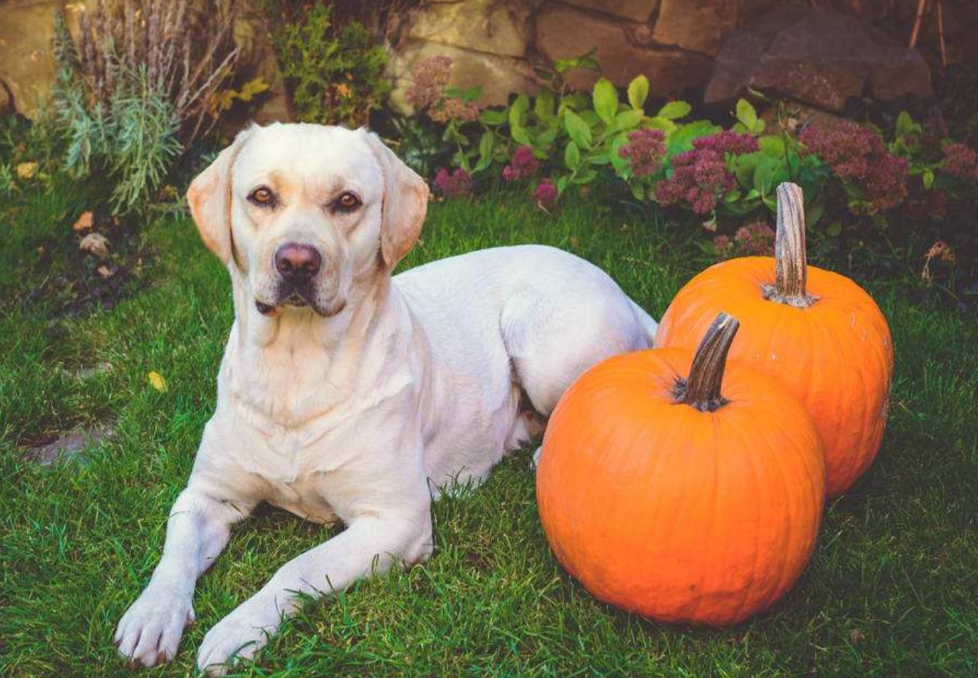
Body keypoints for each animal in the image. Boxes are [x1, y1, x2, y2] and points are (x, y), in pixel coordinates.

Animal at [112, 123, 656, 676]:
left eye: (347, 201)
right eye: (261, 196)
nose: (296, 261)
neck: (295, 372)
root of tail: (612, 282)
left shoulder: (397, 519)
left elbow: (300, 565)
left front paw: (238, 629)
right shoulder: (207, 495)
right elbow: (175, 551)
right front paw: (151, 615)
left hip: (540, 341)